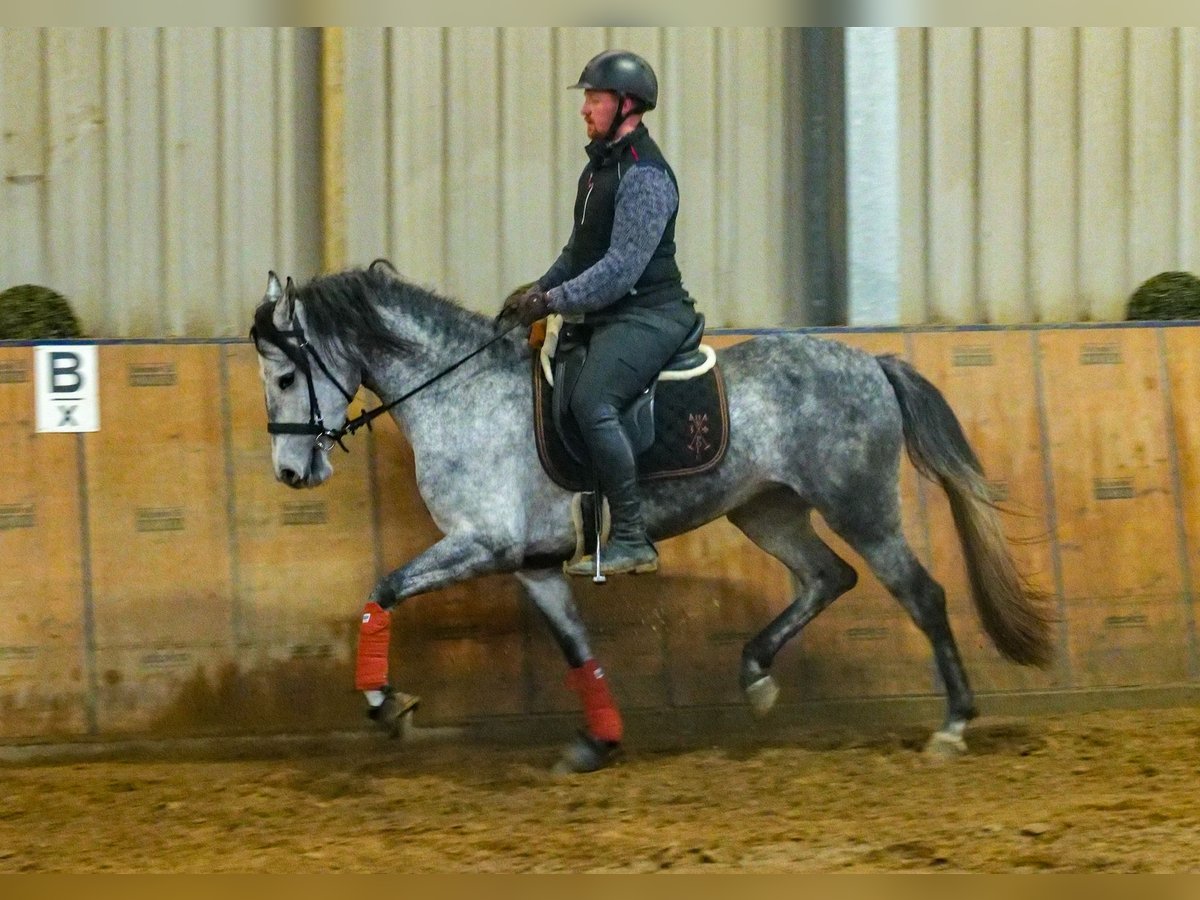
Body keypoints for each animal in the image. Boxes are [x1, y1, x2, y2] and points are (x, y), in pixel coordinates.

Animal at [250, 262, 1051, 777]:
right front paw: (598, 743)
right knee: (827, 578)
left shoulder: (481, 543)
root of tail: (871, 363)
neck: (461, 395)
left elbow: (382, 590)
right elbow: (577, 650)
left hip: (859, 505)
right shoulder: (532, 565)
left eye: (286, 375)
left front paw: (388, 705)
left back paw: (951, 727)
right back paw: (756, 677)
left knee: (922, 595)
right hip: (766, 510)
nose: (291, 474)